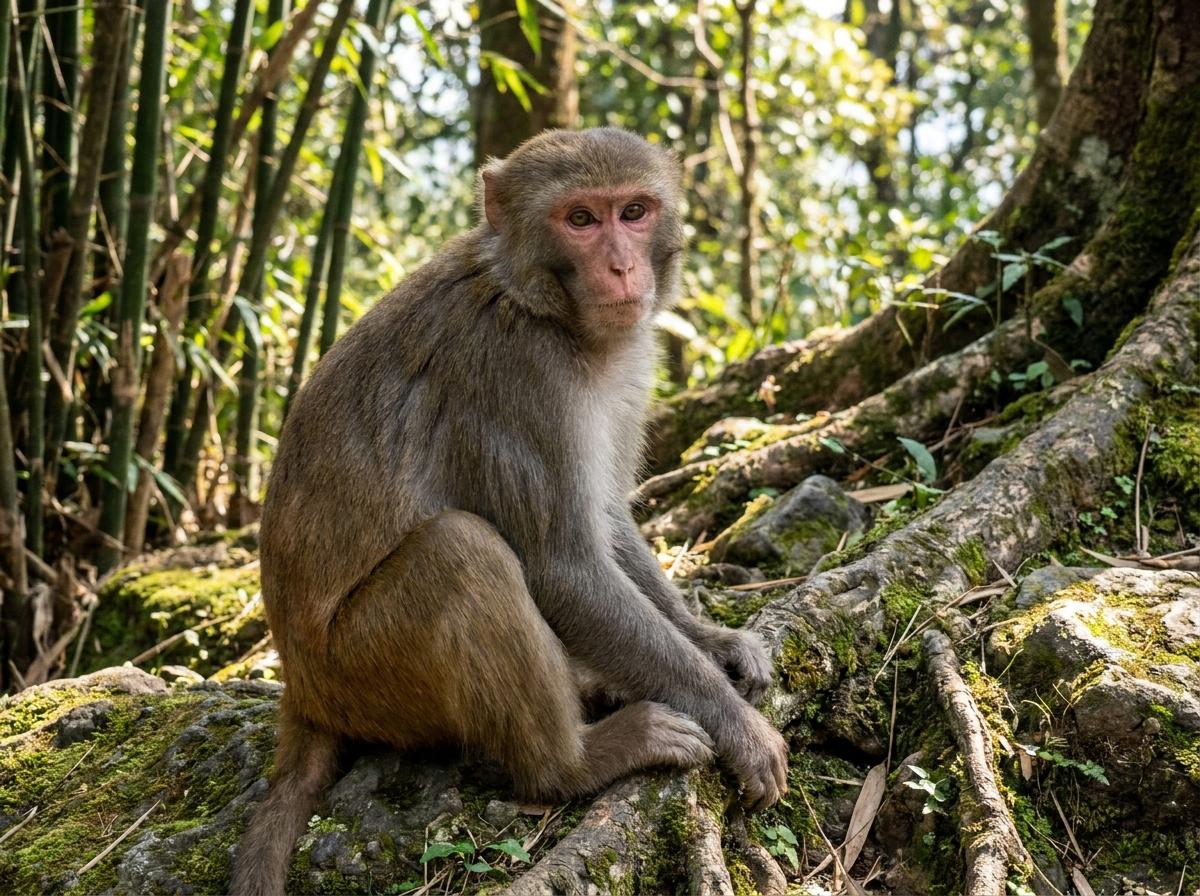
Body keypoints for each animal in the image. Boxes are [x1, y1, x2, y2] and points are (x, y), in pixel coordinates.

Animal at [231, 128, 789, 896]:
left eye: (634, 211)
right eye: (580, 219)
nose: (621, 266)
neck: (537, 302)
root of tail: (303, 694)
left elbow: (606, 520)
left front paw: (712, 640)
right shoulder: (518, 371)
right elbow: (563, 566)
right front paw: (737, 726)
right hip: (364, 674)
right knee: (462, 552)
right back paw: (574, 762)